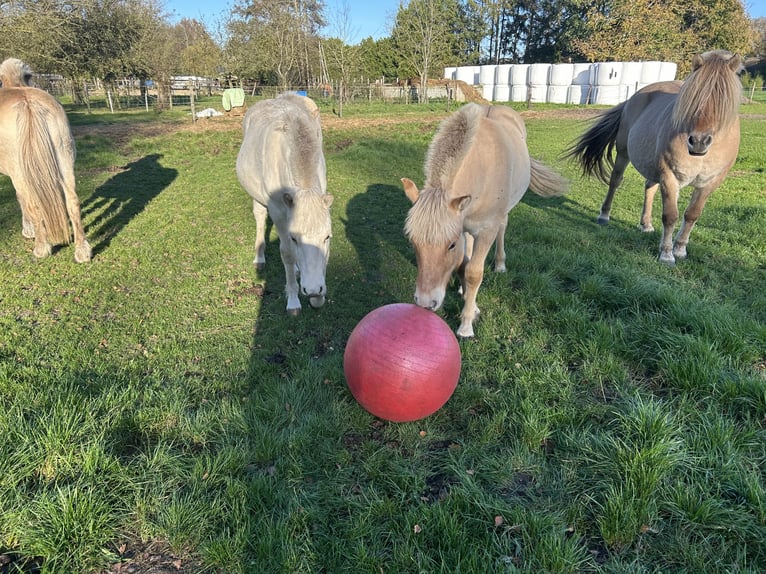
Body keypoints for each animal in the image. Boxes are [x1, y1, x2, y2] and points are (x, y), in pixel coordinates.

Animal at [0, 56, 92, 264]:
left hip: (21, 174)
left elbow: (21, 200)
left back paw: (41, 248)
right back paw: (82, 251)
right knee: (73, 201)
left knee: (32, 203)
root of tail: (28, 104)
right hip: (65, 163)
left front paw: (28, 230)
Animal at [234, 95, 330, 320]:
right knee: (260, 218)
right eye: (295, 238)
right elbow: (287, 252)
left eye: (327, 237)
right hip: (258, 197)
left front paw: (318, 298)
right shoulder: (277, 211)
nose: (314, 290)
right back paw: (260, 258)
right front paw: (293, 301)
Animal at [402, 103, 568, 338]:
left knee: (502, 229)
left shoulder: (487, 230)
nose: (425, 302)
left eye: (450, 245)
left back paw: (500, 264)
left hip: (502, 215)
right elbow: (464, 265)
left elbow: (474, 272)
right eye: (413, 242)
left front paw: (466, 324)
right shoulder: (462, 224)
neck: (481, 168)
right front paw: (469, 301)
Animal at [568, 49, 744, 266]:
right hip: (624, 154)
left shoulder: (710, 182)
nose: (698, 141)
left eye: (723, 102)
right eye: (692, 98)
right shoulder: (669, 175)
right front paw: (666, 254)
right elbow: (670, 215)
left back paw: (646, 224)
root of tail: (635, 96)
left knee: (649, 188)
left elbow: (692, 214)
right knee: (615, 181)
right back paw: (604, 216)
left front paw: (680, 249)